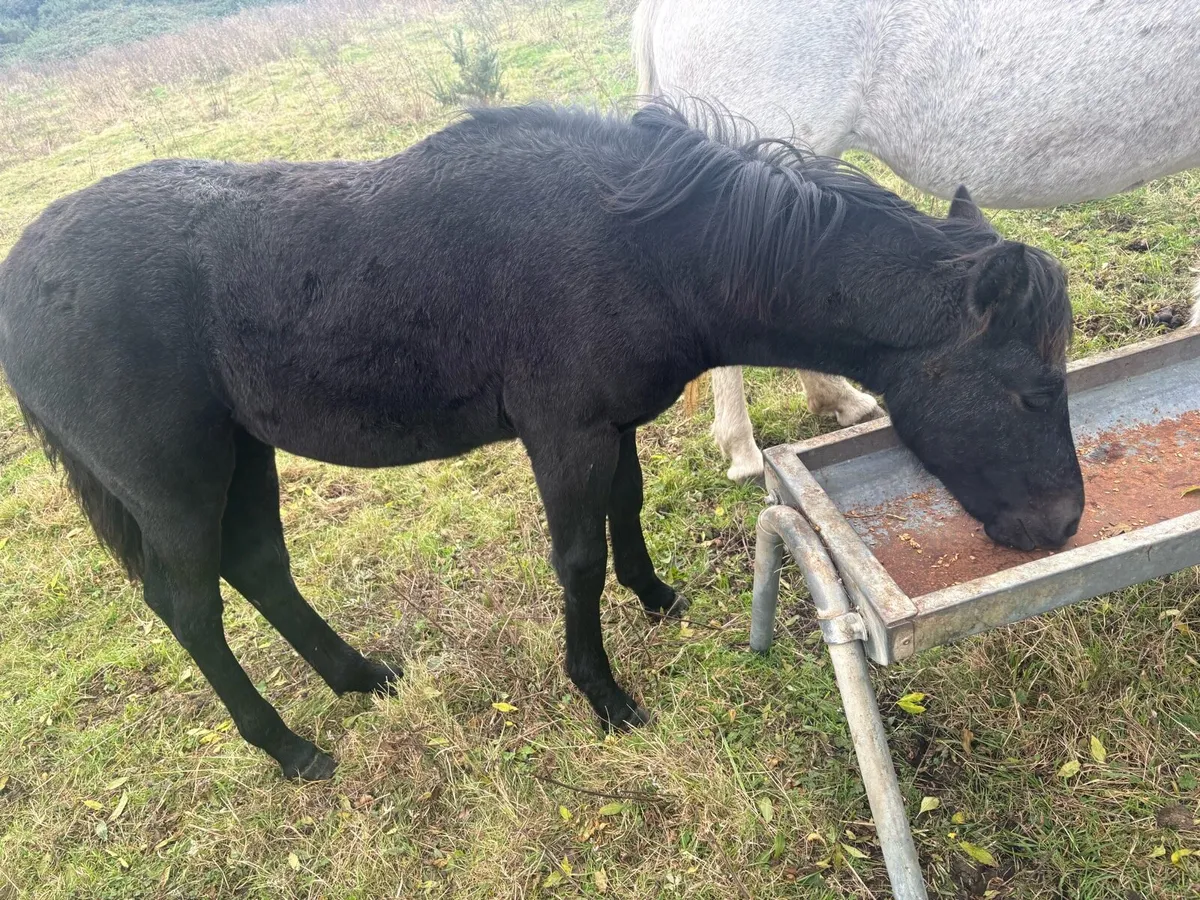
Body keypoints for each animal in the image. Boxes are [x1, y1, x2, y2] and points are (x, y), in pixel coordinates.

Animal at [0, 101, 1083, 780]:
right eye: (1032, 393)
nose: (1064, 523)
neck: (643, 246)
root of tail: (22, 275)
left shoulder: (610, 424)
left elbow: (624, 513)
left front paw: (658, 600)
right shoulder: (562, 434)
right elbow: (576, 560)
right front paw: (603, 696)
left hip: (242, 452)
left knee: (260, 564)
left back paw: (360, 678)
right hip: (173, 478)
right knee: (189, 606)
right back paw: (293, 748)